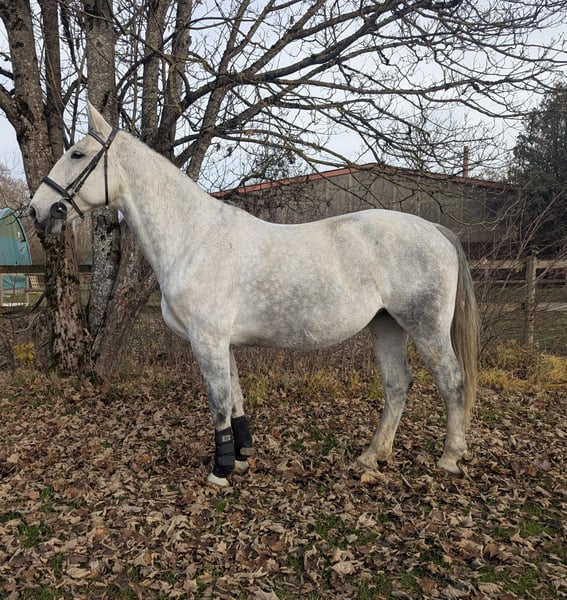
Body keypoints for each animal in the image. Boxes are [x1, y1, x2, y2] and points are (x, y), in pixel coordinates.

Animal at [29, 103, 479, 488]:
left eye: (77, 153)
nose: (37, 209)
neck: (194, 237)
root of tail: (435, 229)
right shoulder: (221, 342)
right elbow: (235, 398)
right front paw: (241, 456)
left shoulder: (207, 339)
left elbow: (218, 401)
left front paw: (220, 470)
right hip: (387, 325)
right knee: (397, 384)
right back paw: (372, 456)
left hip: (425, 327)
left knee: (451, 381)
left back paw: (450, 458)